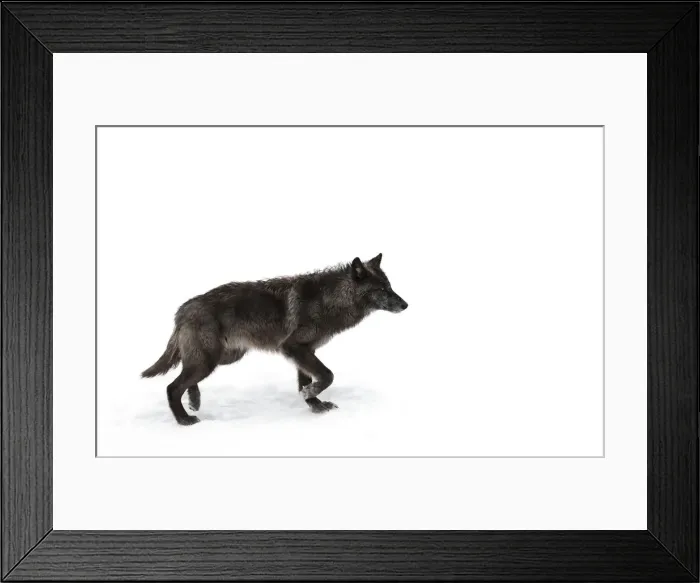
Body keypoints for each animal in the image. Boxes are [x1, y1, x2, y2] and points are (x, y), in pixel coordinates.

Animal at [141, 253, 408, 425]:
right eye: (382, 290)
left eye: (390, 286)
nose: (405, 305)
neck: (329, 299)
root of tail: (183, 308)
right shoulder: (294, 347)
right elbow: (327, 375)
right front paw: (312, 396)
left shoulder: (305, 352)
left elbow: (308, 380)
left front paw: (315, 405)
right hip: (208, 360)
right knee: (173, 387)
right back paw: (184, 419)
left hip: (223, 358)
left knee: (186, 380)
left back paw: (194, 401)